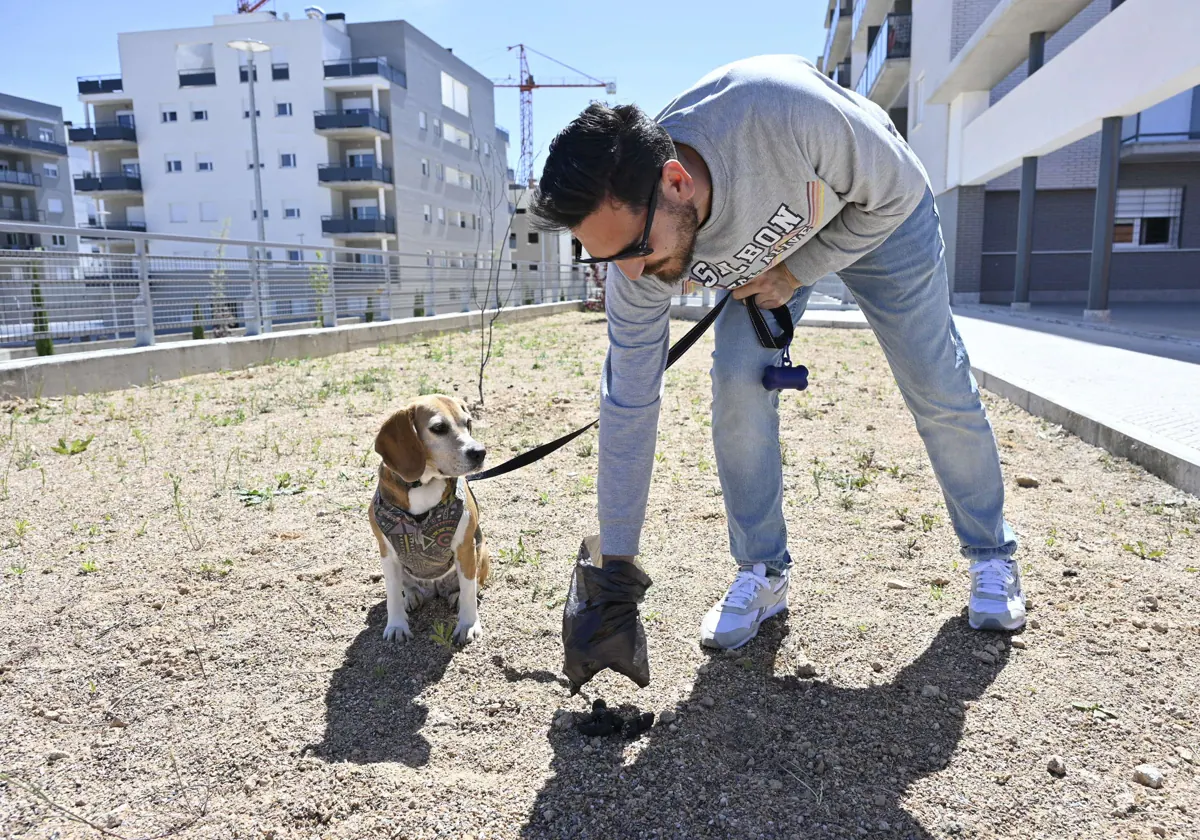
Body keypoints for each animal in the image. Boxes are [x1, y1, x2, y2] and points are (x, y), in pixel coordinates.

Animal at [369, 393, 492, 643]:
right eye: (438, 428)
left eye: (468, 423)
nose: (480, 452)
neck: (423, 484)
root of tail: (435, 587)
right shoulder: (387, 552)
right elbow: (392, 594)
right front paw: (396, 626)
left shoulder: (465, 548)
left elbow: (468, 590)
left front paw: (468, 625)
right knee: (407, 587)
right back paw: (411, 597)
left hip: (481, 550)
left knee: (470, 586)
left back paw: (456, 596)